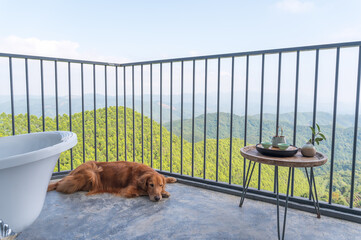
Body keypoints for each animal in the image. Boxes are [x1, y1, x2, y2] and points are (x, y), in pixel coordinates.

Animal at [47, 160, 176, 202]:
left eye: (160, 185)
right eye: (151, 185)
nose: (157, 198)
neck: (141, 172)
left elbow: (164, 177)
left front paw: (170, 180)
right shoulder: (128, 190)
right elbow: (142, 191)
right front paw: (165, 193)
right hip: (91, 173)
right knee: (60, 184)